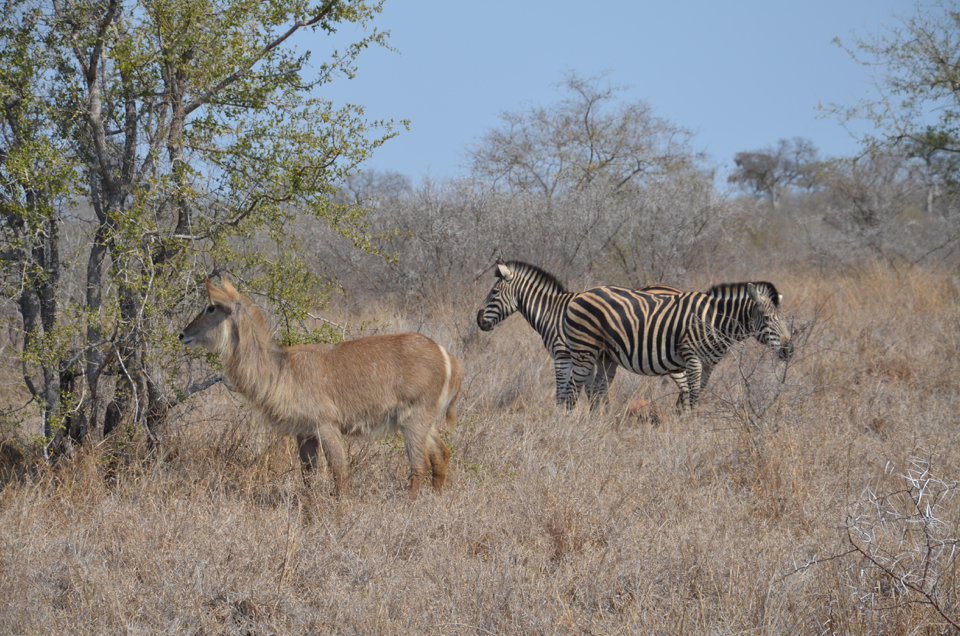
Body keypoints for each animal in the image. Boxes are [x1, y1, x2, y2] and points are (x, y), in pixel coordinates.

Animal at [183, 276, 464, 500]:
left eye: (210, 307)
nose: (182, 335)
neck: (281, 369)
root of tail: (447, 355)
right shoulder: (304, 433)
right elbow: (308, 478)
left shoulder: (327, 425)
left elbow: (339, 474)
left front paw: (341, 514)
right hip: (424, 421)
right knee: (441, 455)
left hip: (413, 420)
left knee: (420, 465)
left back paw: (409, 508)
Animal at [476, 260, 680, 404]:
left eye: (494, 292)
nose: (479, 321)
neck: (551, 312)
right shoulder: (586, 357)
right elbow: (590, 391)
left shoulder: (563, 355)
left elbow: (562, 392)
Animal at [560, 280, 792, 410]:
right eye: (768, 319)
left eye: (784, 319)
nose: (789, 351)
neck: (714, 320)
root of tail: (581, 295)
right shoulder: (693, 359)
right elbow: (693, 394)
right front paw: (691, 426)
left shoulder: (709, 364)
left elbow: (700, 394)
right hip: (583, 351)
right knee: (572, 388)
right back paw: (571, 424)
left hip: (605, 357)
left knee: (597, 391)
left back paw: (601, 423)